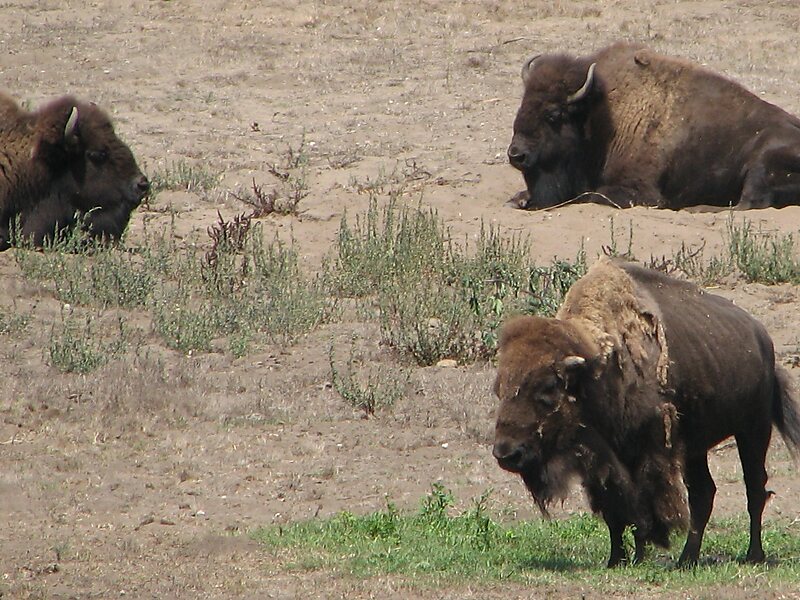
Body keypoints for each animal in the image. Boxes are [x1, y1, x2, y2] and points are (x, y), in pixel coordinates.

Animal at [492, 258, 800, 567]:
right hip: (696, 447)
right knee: (704, 494)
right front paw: (616, 559)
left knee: (754, 489)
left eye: (548, 387)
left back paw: (753, 555)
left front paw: (640, 553)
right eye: (500, 389)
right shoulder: (602, 461)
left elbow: (645, 508)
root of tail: (762, 339)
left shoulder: (648, 452)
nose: (507, 454)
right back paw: (687, 559)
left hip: (753, 430)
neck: (596, 371)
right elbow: (614, 511)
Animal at [508, 42, 800, 210]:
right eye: (522, 105)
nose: (516, 154)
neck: (601, 117)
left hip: (761, 163)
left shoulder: (640, 191)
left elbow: (589, 195)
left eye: (553, 114)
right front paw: (518, 199)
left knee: (747, 204)